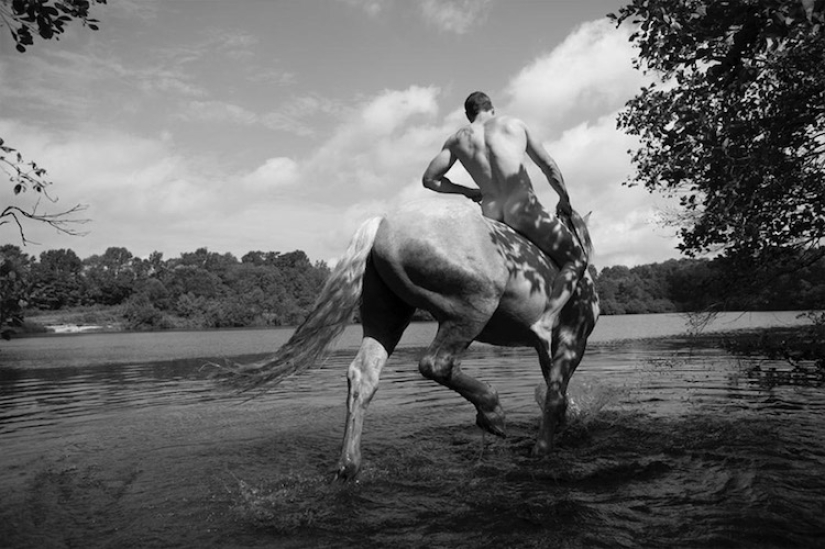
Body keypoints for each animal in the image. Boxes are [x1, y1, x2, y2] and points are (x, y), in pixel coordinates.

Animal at [228, 198, 599, 481]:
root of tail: (382, 223)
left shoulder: (546, 347)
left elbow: (553, 389)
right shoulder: (572, 340)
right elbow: (554, 395)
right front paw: (542, 449)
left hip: (388, 316)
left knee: (364, 375)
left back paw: (349, 466)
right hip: (472, 308)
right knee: (436, 363)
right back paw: (492, 412)